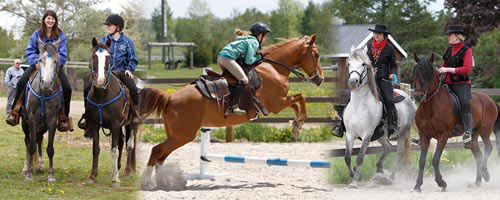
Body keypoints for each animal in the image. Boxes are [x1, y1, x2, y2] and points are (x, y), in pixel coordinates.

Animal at [20, 38, 63, 184]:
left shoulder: (52, 121)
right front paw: (28, 175)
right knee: (28, 142)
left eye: (55, 61)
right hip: (25, 123)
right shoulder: (32, 120)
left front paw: (51, 175)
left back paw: (39, 166)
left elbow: (50, 148)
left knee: (39, 139)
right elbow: (31, 146)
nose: (46, 83)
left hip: (42, 126)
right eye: (40, 59)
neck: (43, 93)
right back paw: (26, 168)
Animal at [83, 38, 139, 188]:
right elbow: (95, 150)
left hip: (132, 124)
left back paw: (126, 172)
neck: (102, 95)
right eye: (94, 56)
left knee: (129, 145)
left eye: (108, 57)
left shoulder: (115, 124)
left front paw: (115, 180)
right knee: (121, 142)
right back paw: (116, 170)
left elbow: (114, 150)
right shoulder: (95, 124)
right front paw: (92, 176)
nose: (100, 81)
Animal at [138, 34, 324, 189]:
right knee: (157, 151)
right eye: (316, 55)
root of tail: (169, 98)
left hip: (177, 136)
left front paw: (296, 126)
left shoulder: (280, 102)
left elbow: (298, 102)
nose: (320, 79)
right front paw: (297, 127)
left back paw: (163, 181)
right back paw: (147, 182)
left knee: (161, 157)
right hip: (182, 136)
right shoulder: (277, 104)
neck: (274, 68)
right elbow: (301, 99)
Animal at [344, 47, 418, 188]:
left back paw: (391, 178)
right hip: (381, 135)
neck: (358, 106)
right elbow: (347, 158)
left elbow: (360, 158)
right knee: (388, 147)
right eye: (349, 63)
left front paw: (354, 182)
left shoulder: (367, 135)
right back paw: (379, 169)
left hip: (402, 133)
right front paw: (354, 174)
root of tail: (408, 97)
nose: (353, 81)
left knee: (399, 153)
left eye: (363, 64)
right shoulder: (350, 134)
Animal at [410, 53, 500, 192]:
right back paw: (477, 181)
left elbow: (435, 159)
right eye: (415, 73)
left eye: (428, 75)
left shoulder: (443, 136)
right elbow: (422, 160)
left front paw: (441, 183)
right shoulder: (424, 136)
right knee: (477, 152)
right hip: (474, 133)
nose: (418, 96)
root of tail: (490, 99)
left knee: (488, 147)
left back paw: (485, 173)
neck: (430, 108)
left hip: (485, 129)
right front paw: (418, 185)